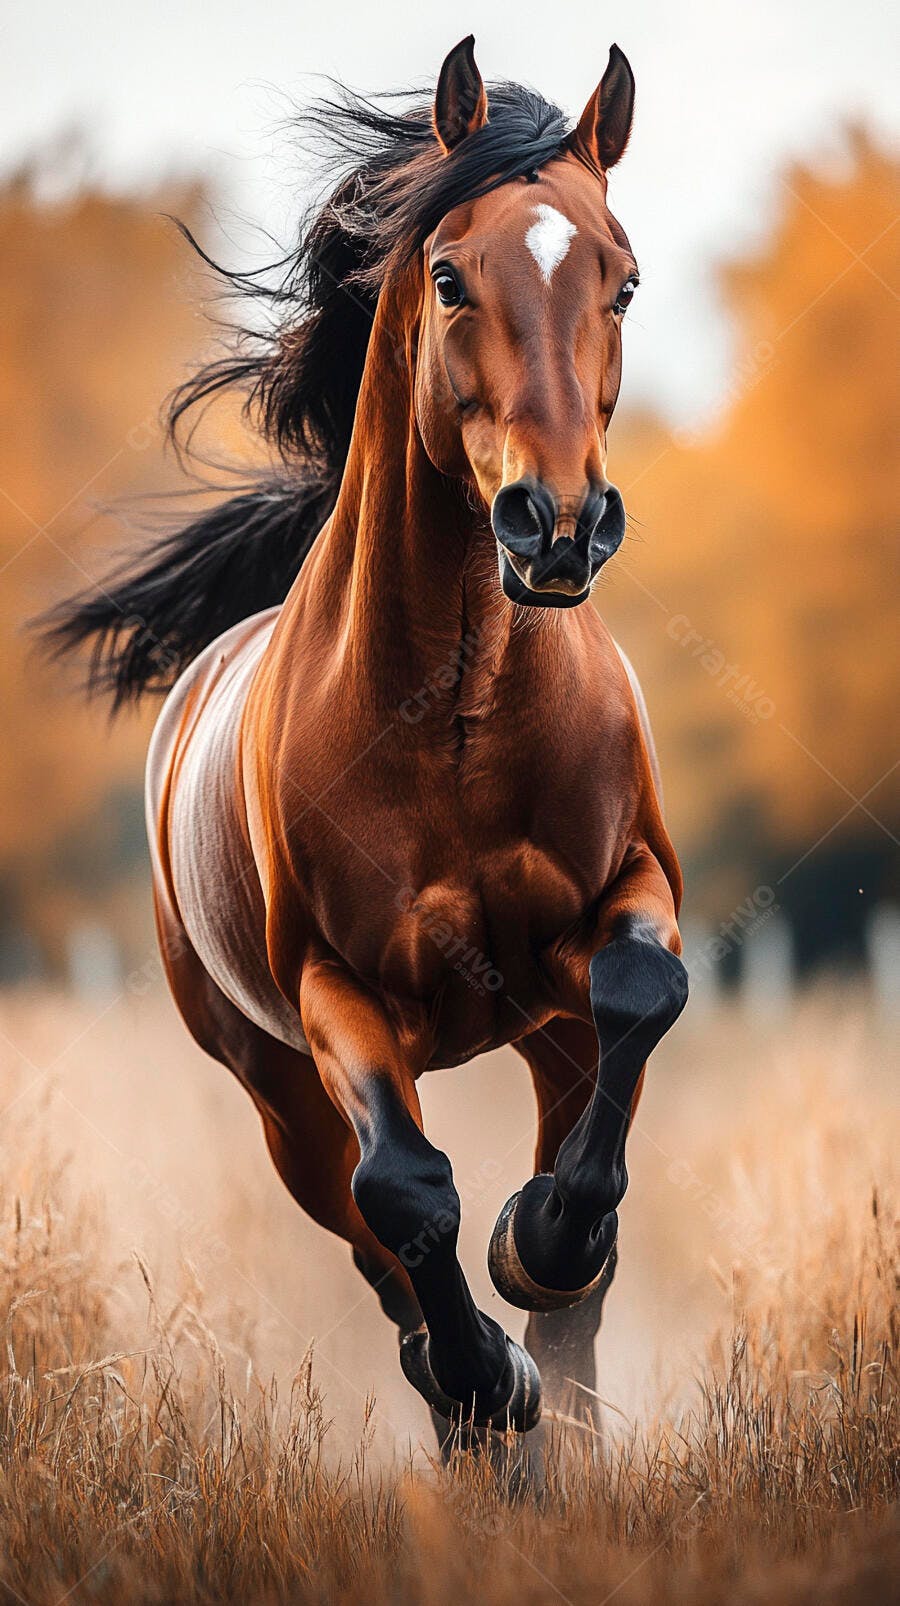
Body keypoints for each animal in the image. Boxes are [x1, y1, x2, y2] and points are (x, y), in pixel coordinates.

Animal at [44, 37, 688, 1442]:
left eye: (623, 279)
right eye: (449, 277)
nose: (558, 525)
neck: (454, 717)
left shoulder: (626, 895)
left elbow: (642, 997)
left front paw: (538, 1245)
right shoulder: (334, 990)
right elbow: (406, 1192)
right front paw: (488, 1371)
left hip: (542, 1029)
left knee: (577, 1239)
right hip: (276, 1088)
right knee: (376, 1243)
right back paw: (483, 1400)